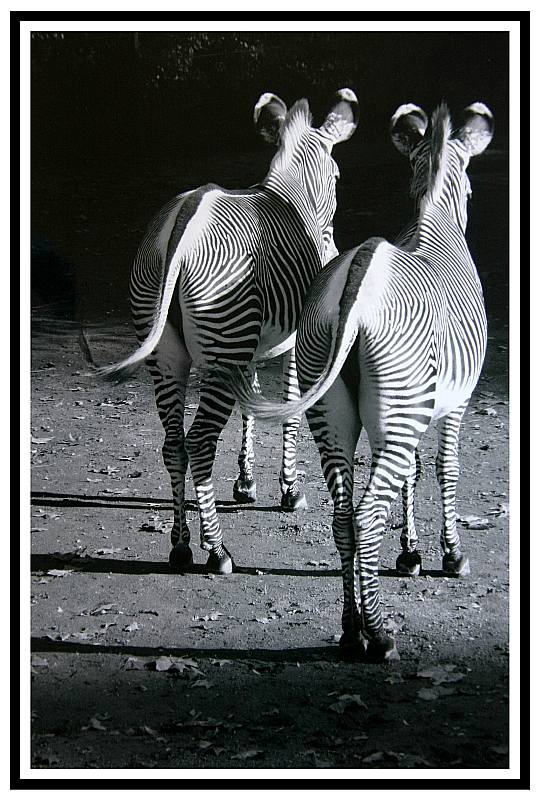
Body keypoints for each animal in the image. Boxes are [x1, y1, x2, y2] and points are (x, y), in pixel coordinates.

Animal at [94, 88, 359, 576]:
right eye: (336, 175)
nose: (333, 247)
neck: (292, 196)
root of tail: (183, 221)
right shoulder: (293, 345)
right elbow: (288, 413)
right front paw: (290, 491)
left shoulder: (249, 350)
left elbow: (250, 407)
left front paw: (247, 483)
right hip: (221, 346)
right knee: (198, 443)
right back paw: (216, 551)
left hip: (171, 354)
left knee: (173, 445)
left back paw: (181, 545)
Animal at [228, 101, 493, 661]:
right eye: (471, 189)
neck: (434, 219)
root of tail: (357, 281)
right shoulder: (455, 404)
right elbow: (446, 470)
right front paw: (449, 555)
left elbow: (415, 473)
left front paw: (411, 553)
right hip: (396, 411)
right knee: (367, 513)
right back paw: (380, 634)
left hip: (334, 408)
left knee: (344, 517)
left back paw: (352, 630)